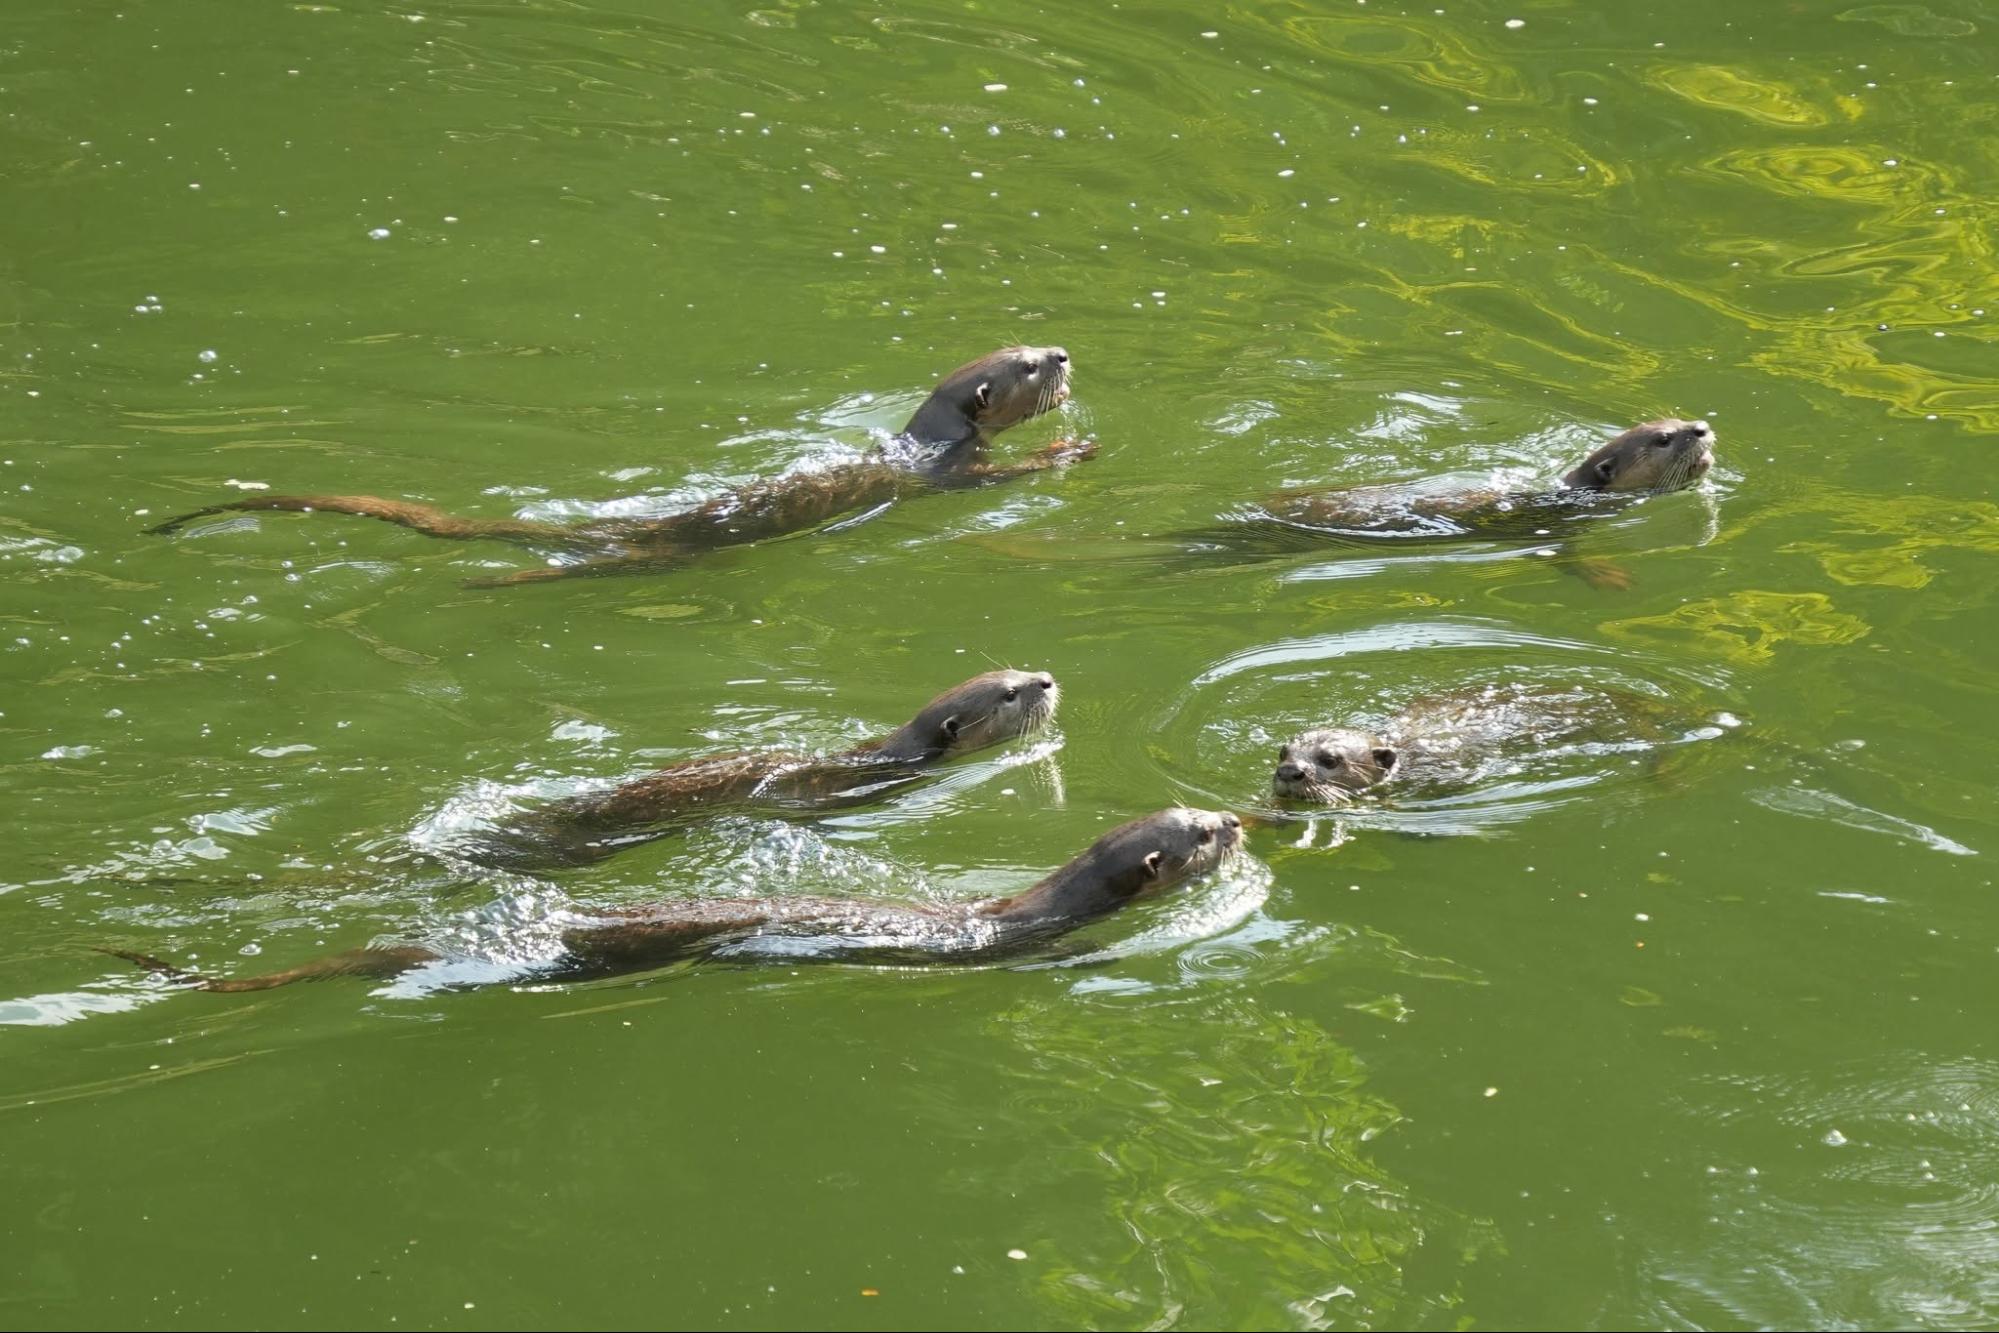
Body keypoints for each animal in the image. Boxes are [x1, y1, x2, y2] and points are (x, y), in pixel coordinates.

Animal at [148, 346, 1091, 587]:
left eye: (1030, 341)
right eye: (1027, 369)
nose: (1063, 351)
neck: (923, 439)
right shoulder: (949, 473)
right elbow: (1001, 476)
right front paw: (1069, 447)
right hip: (644, 558)